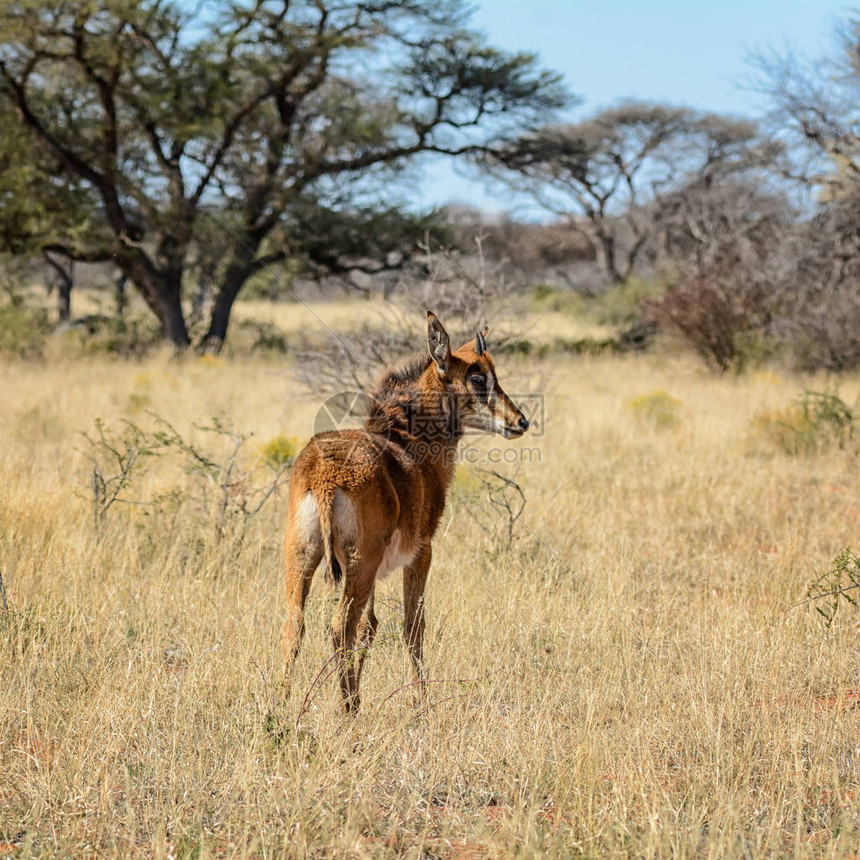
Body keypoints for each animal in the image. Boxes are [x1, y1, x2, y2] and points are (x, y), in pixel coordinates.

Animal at [280, 310, 532, 712]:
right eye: (477, 377)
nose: (520, 421)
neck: (409, 439)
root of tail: (323, 476)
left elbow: (370, 625)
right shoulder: (422, 551)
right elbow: (413, 625)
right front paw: (421, 702)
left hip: (304, 555)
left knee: (296, 623)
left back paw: (283, 706)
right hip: (359, 561)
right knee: (339, 626)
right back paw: (347, 710)